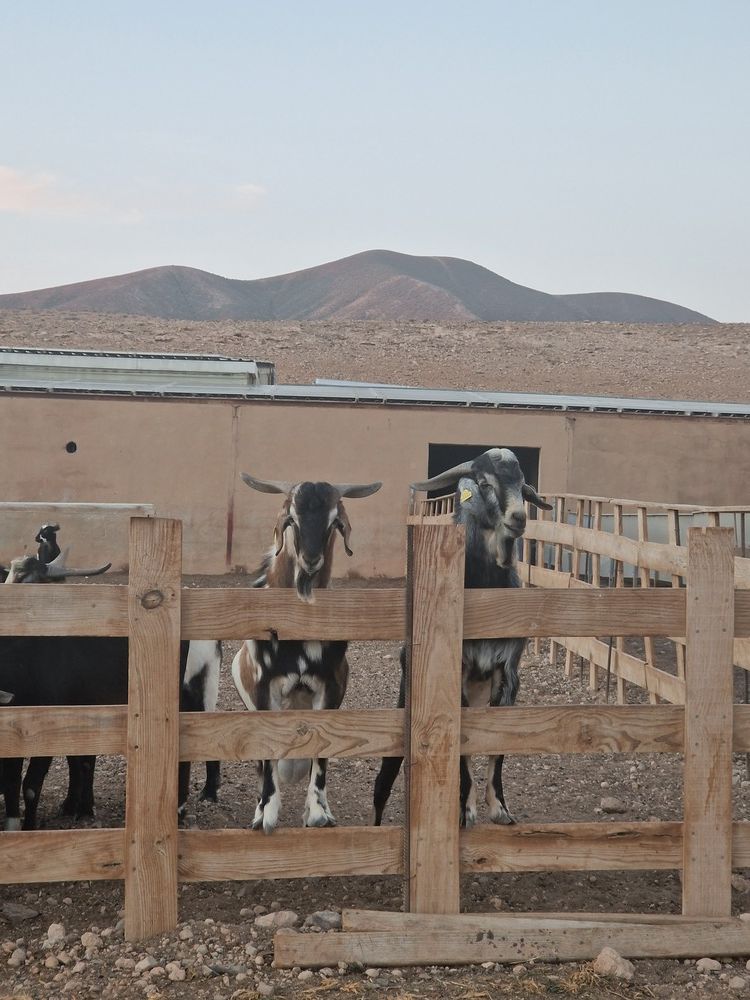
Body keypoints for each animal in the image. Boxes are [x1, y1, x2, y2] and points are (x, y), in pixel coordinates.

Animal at [231, 473, 381, 834]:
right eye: (291, 519)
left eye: (335, 522)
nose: (311, 560)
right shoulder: (263, 690)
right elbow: (268, 751)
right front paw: (266, 814)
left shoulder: (331, 689)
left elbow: (322, 750)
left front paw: (318, 813)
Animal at [373, 448, 551, 828]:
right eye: (484, 483)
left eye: (522, 486)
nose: (518, 518)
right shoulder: (460, 672)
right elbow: (462, 748)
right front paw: (466, 811)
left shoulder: (508, 671)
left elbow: (495, 745)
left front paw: (499, 808)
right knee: (383, 783)